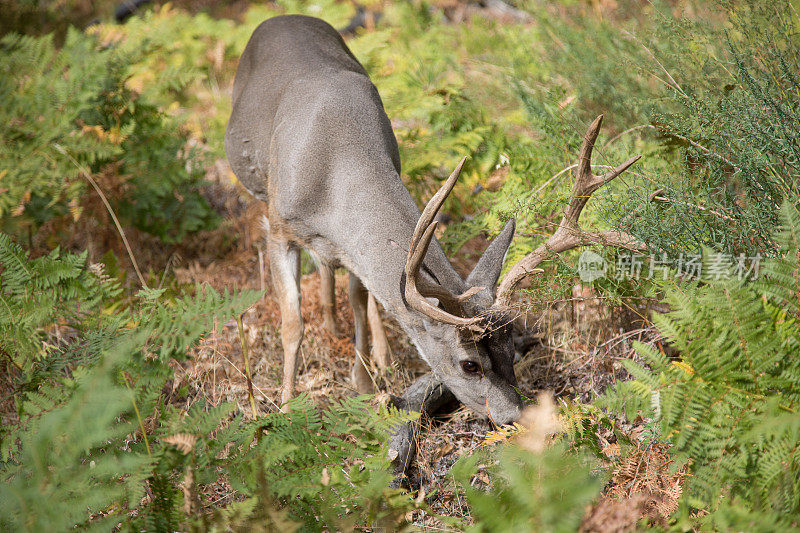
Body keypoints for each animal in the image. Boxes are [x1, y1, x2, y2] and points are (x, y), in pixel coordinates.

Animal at [225, 14, 644, 456]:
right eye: (469, 364)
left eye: (511, 348)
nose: (516, 416)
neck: (333, 166)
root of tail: (283, 16)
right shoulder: (277, 225)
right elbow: (292, 324)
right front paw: (286, 409)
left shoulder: (351, 243)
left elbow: (359, 298)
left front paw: (363, 382)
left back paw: (369, 344)